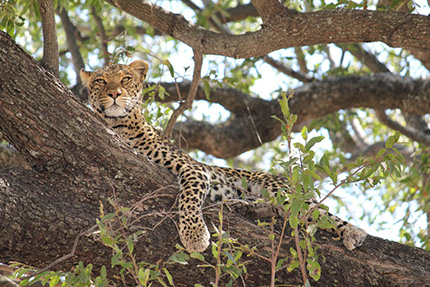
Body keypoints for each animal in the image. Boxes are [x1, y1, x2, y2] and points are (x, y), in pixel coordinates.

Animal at [80, 60, 366, 252]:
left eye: (126, 78)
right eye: (100, 81)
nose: (114, 94)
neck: (120, 126)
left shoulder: (194, 170)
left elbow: (189, 200)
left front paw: (194, 235)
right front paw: (196, 234)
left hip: (281, 190)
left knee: (316, 211)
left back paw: (353, 231)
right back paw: (243, 206)